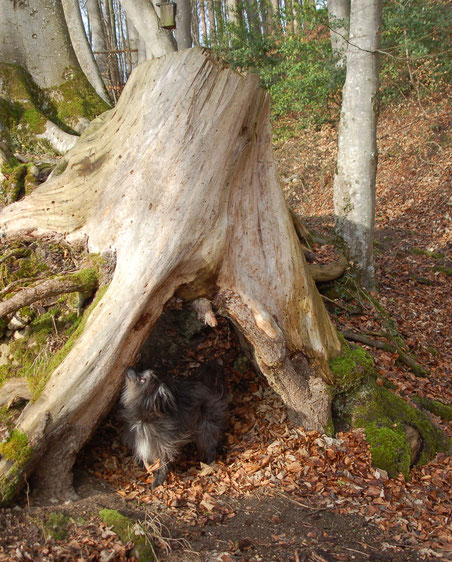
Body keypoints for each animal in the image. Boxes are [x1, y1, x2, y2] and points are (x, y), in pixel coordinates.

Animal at [120, 358, 228, 486]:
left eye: (143, 379)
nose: (130, 367)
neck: (146, 418)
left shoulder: (164, 444)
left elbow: (163, 462)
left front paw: (158, 479)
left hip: (206, 424)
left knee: (209, 440)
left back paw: (210, 461)